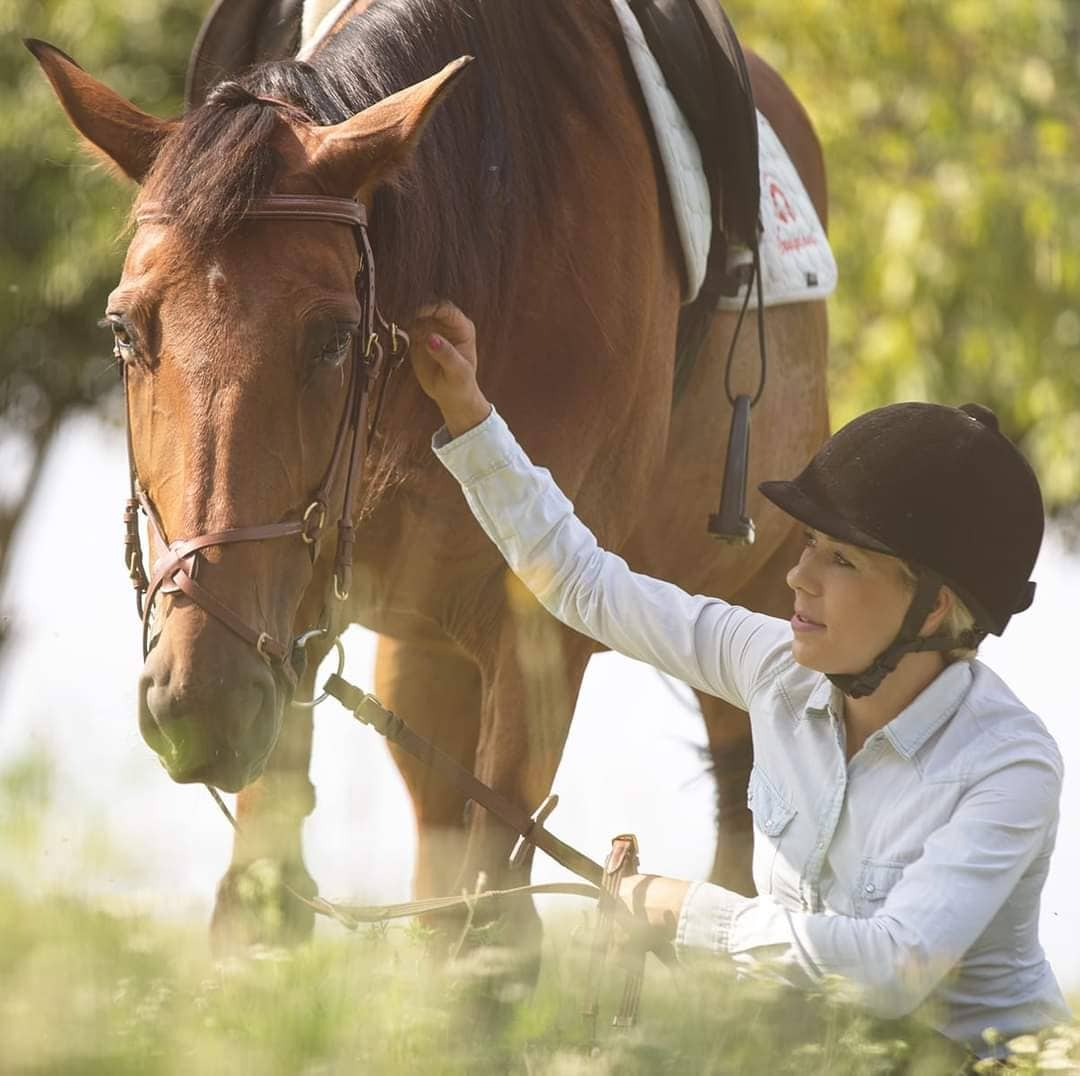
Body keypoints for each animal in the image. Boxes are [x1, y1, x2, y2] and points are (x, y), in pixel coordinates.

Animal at [31, 0, 825, 959]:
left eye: (335, 336)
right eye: (122, 329)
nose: (197, 698)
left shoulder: (541, 631)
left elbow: (490, 935)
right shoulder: (292, 626)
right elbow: (266, 901)